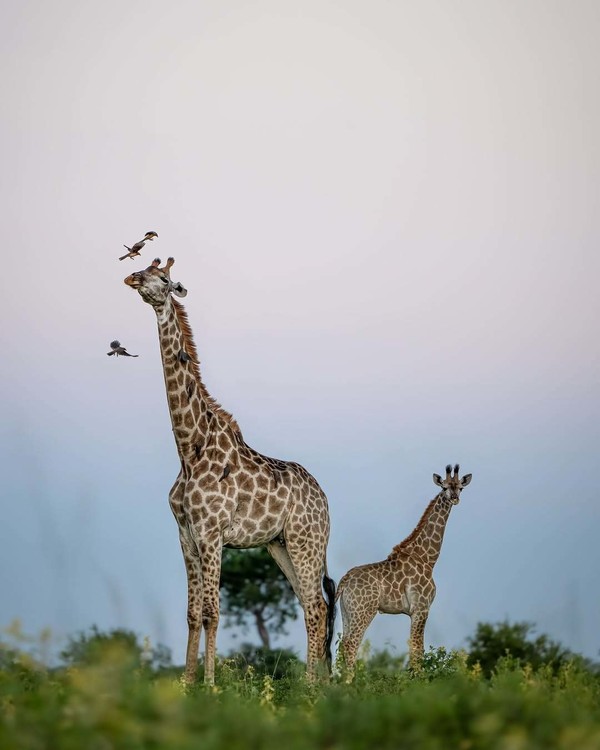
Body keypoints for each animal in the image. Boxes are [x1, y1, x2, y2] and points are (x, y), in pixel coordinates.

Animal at [124, 257, 336, 685]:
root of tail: (325, 499)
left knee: (317, 607)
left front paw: (211, 685)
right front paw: (186, 684)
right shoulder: (186, 534)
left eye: (164, 278)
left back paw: (311, 687)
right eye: (144, 268)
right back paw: (320, 686)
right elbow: (191, 614)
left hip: (306, 541)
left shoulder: (212, 532)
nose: (133, 278)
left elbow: (211, 611)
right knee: (312, 606)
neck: (189, 449)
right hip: (280, 545)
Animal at [336, 464, 472, 676]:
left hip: (346, 611)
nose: (455, 498)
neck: (427, 558)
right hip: (363, 611)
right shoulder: (421, 608)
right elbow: (417, 650)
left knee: (343, 644)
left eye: (460, 488)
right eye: (444, 487)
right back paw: (349, 682)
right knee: (351, 645)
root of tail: (344, 580)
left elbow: (415, 649)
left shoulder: (416, 610)